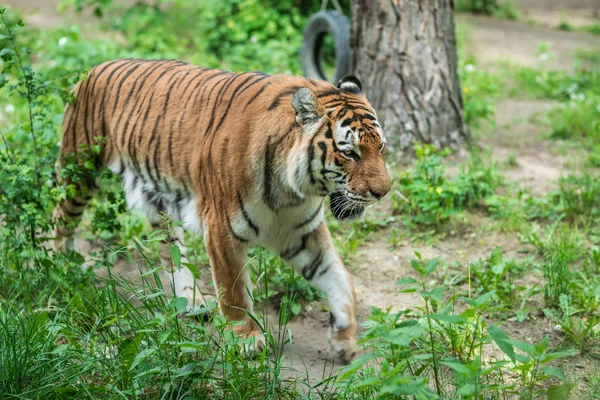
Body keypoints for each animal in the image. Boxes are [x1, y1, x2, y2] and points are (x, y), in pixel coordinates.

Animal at [54, 58, 392, 362]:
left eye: (381, 147)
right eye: (350, 152)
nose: (383, 191)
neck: (292, 192)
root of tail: (95, 67)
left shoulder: (301, 232)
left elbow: (339, 277)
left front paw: (344, 338)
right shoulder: (222, 228)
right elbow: (233, 290)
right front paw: (246, 340)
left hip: (159, 200)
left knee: (172, 253)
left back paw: (191, 301)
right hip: (79, 170)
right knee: (61, 219)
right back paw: (61, 267)